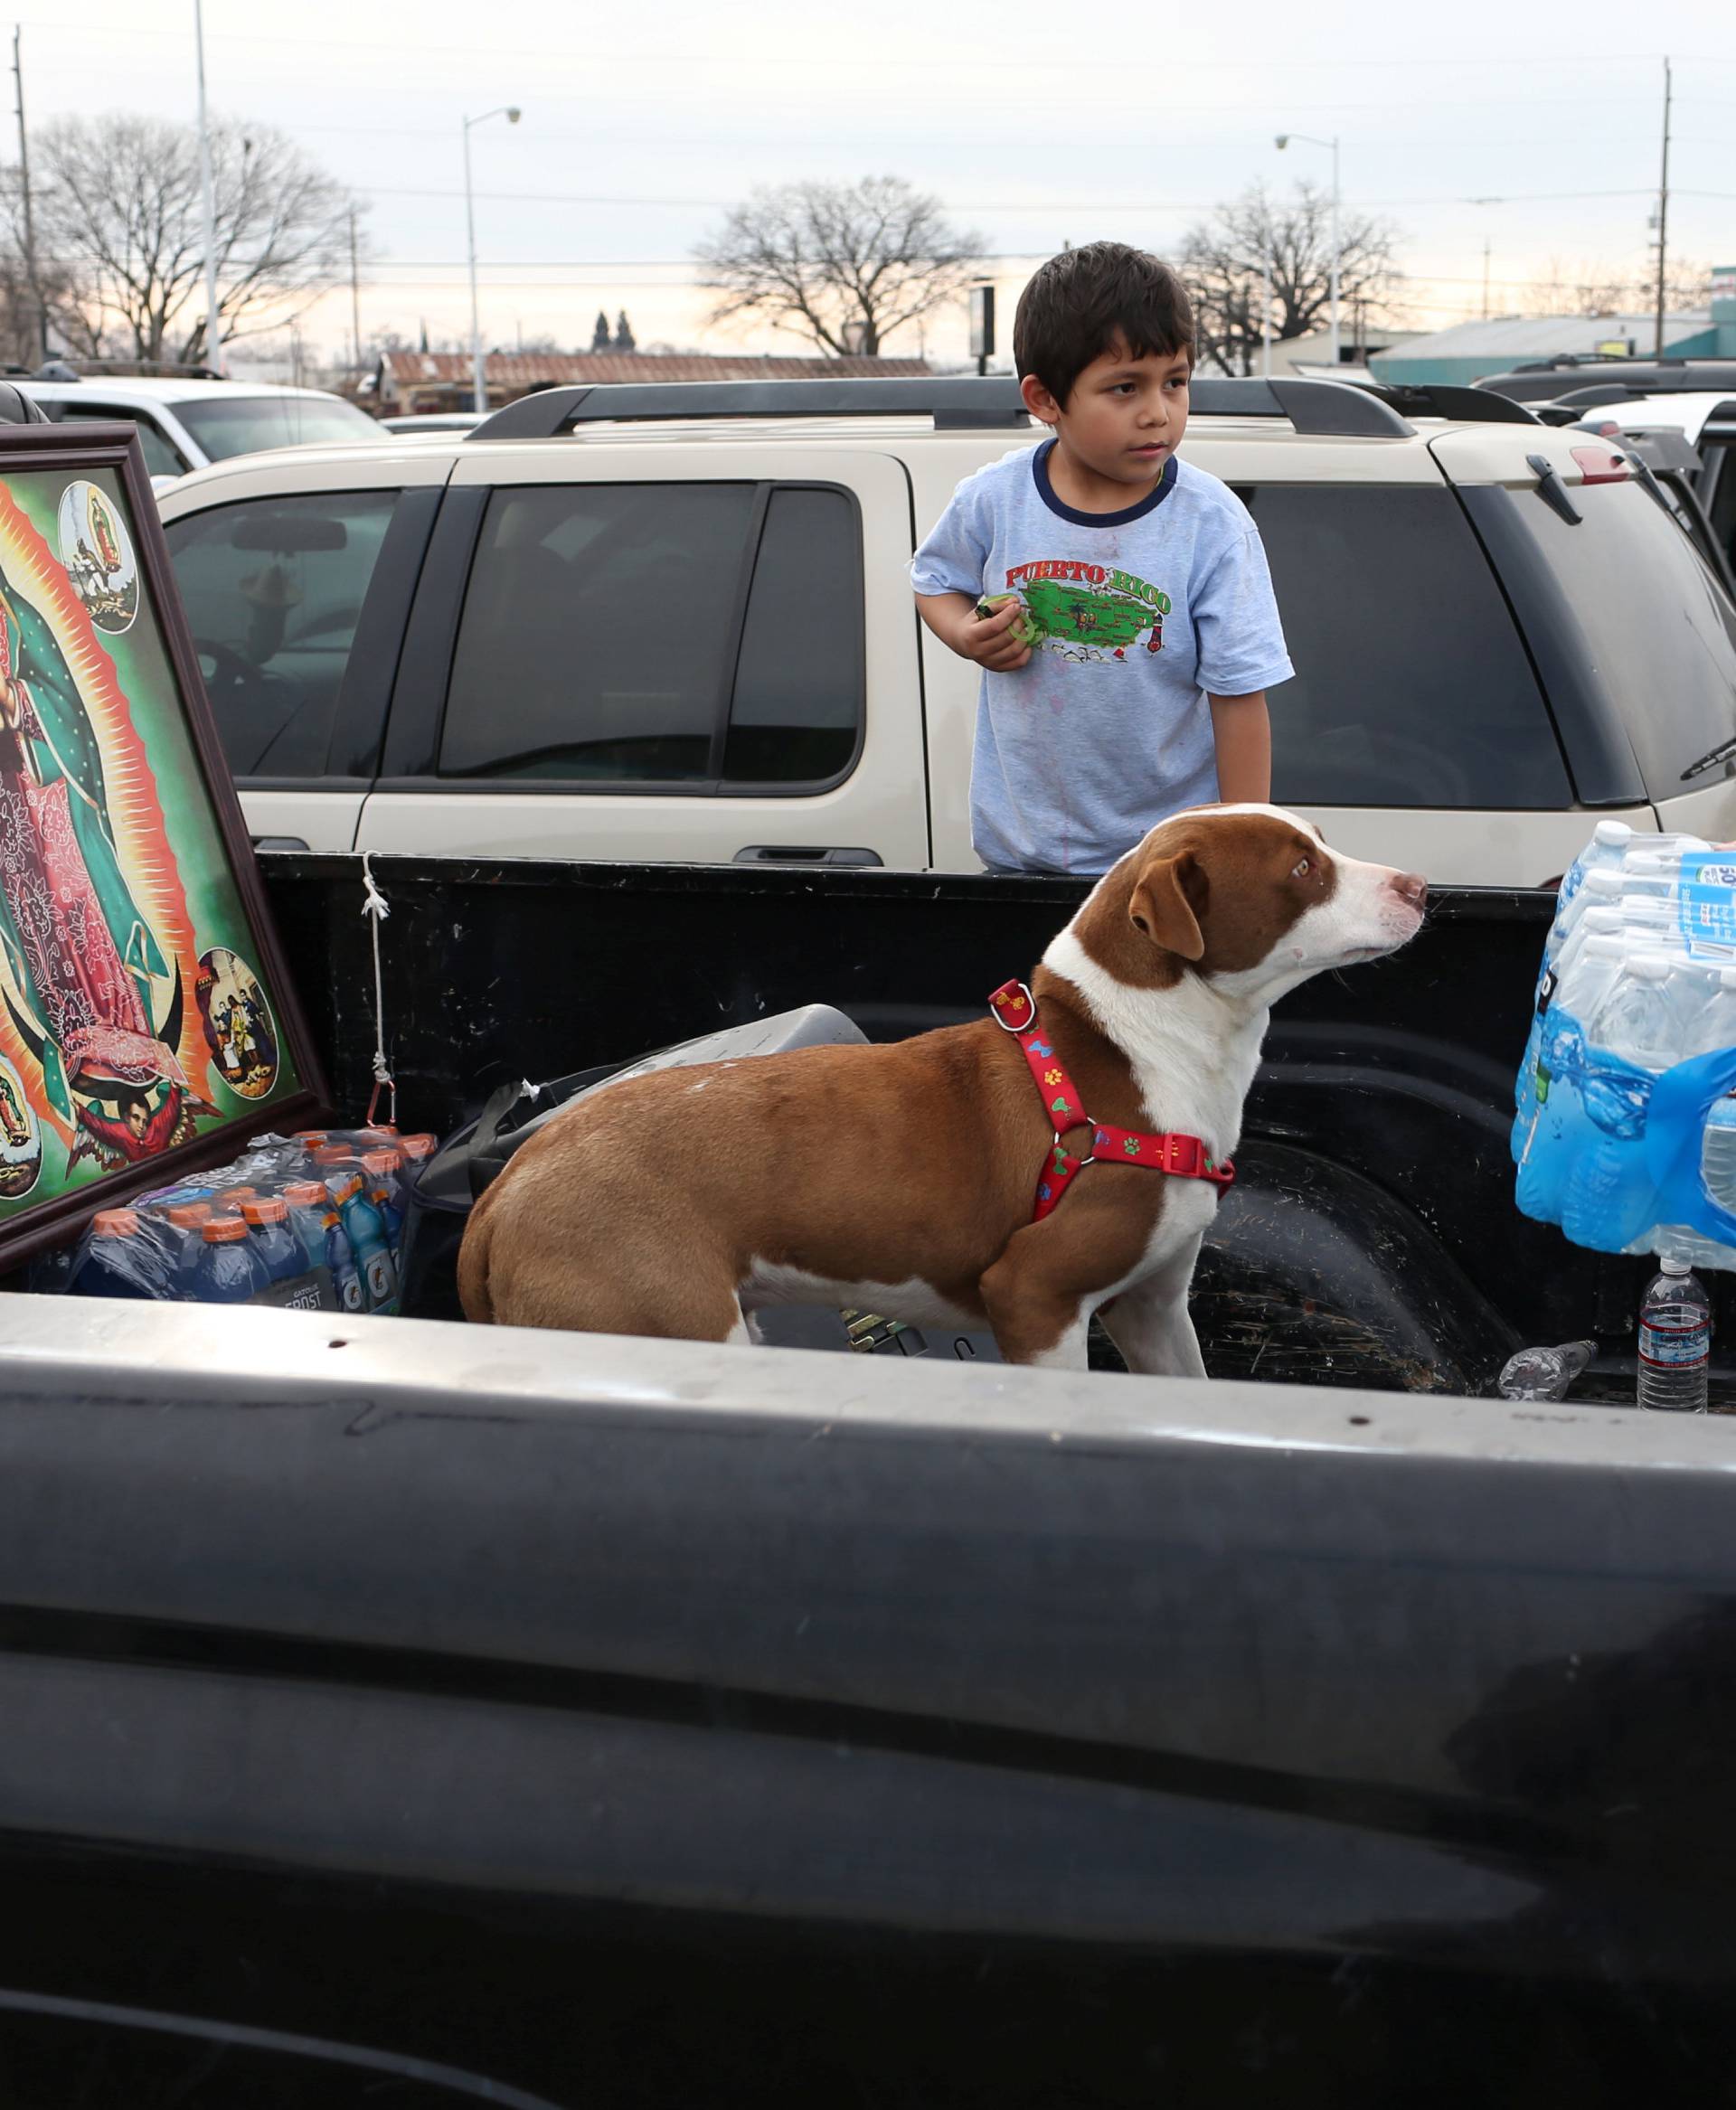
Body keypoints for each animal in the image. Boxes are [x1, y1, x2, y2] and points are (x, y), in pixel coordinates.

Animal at [458, 801, 1426, 1367]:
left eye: (1323, 843)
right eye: (1301, 869)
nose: (1419, 885)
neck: (1139, 1047)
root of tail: (501, 1195)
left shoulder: (1153, 1303)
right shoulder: (1034, 1297)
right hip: (669, 1323)